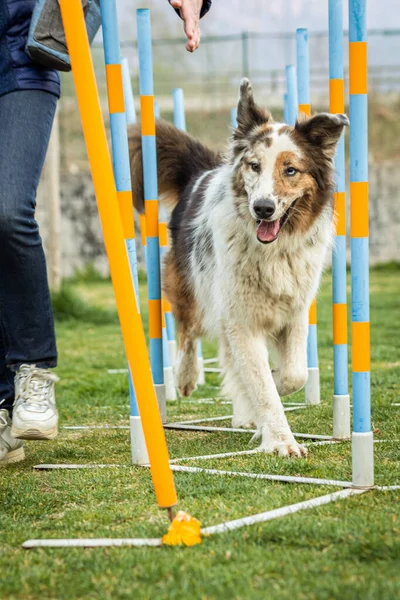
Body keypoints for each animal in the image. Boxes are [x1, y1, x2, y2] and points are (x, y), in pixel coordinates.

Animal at [130, 78, 348, 454]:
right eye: (254, 166)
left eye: (290, 170)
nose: (262, 208)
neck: (274, 252)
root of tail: (201, 173)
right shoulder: (241, 319)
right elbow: (262, 384)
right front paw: (281, 442)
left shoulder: (294, 312)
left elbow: (293, 375)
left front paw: (265, 399)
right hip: (193, 286)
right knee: (188, 331)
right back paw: (186, 377)